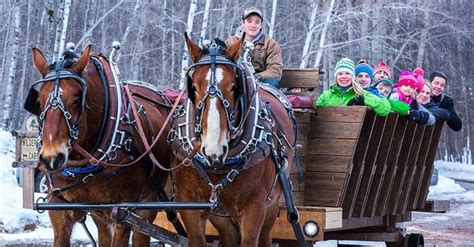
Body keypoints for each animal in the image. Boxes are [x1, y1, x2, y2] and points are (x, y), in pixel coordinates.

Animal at [28, 45, 172, 245]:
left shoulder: (122, 213)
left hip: (147, 204)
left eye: (76, 100)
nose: (51, 158)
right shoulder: (59, 211)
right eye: (39, 102)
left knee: (141, 236)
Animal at [168, 33, 296, 246]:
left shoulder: (255, 207)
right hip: (221, 215)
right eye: (193, 87)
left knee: (265, 236)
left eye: (234, 87)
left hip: (271, 205)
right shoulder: (189, 203)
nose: (213, 150)